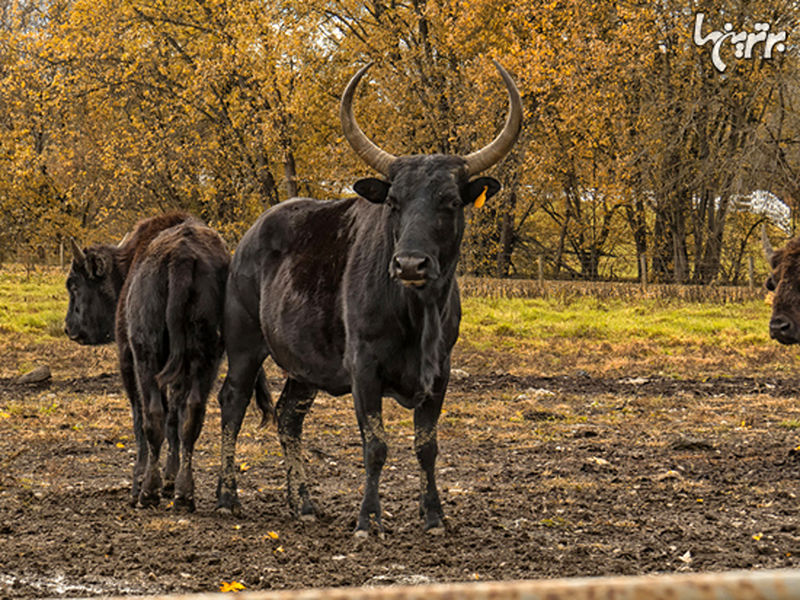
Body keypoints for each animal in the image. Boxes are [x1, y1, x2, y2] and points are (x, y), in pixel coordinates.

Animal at [65, 213, 272, 508]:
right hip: (205, 357)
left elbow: (141, 418)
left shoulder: (128, 358)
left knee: (153, 416)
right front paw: (170, 479)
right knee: (191, 414)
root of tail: (181, 256)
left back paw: (147, 492)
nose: (69, 328)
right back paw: (184, 492)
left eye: (74, 284)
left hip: (147, 355)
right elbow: (176, 417)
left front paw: (140, 480)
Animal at [216, 62, 520, 536]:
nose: (410, 264)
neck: (418, 316)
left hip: (304, 365)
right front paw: (368, 519)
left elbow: (426, 446)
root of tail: (250, 237)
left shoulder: (441, 372)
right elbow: (375, 445)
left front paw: (434, 516)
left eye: (451, 201)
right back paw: (227, 497)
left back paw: (303, 503)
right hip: (244, 343)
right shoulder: (364, 369)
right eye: (393, 201)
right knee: (232, 403)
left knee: (288, 417)